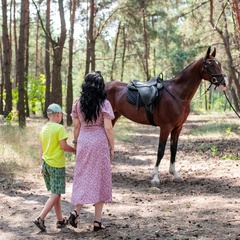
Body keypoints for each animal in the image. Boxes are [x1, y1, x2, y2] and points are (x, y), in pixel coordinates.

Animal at [106, 46, 228, 186]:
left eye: (219, 64)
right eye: (210, 64)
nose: (224, 83)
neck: (177, 93)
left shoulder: (177, 128)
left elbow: (173, 149)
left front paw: (174, 174)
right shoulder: (165, 127)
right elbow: (161, 150)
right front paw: (155, 177)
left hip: (113, 118)